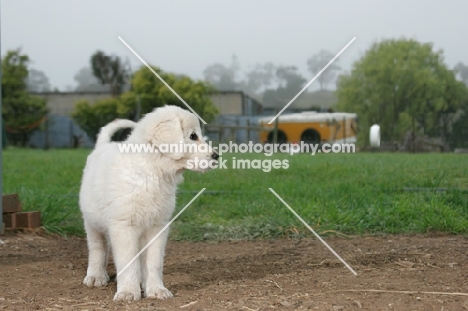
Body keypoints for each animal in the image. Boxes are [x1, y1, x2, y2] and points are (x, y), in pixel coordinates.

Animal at [79, 105, 218, 302]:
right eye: (193, 136)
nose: (216, 156)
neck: (152, 170)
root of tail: (103, 146)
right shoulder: (123, 226)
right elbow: (128, 261)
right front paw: (128, 292)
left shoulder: (157, 227)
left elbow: (153, 262)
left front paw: (156, 289)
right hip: (92, 222)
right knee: (98, 248)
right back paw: (95, 276)